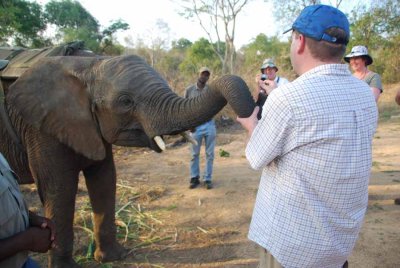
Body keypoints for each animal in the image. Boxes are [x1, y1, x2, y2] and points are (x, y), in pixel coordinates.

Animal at [0, 54, 256, 266]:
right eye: (125, 102)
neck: (86, 66)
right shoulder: (40, 129)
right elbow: (59, 190)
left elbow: (105, 180)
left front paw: (113, 257)